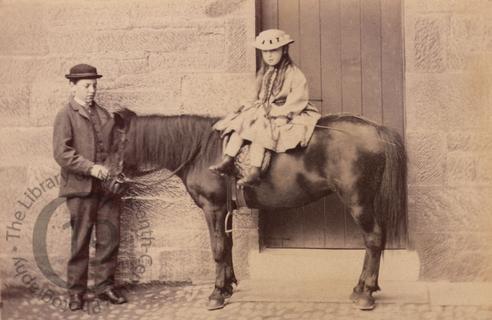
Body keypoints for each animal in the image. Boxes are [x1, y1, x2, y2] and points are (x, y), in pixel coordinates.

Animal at [105, 109, 406, 310]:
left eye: (115, 143)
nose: (106, 179)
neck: (201, 152)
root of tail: (376, 129)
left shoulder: (213, 208)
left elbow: (217, 248)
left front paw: (216, 293)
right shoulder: (225, 210)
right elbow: (227, 245)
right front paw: (227, 286)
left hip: (358, 201)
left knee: (373, 239)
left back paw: (366, 293)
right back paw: (359, 288)